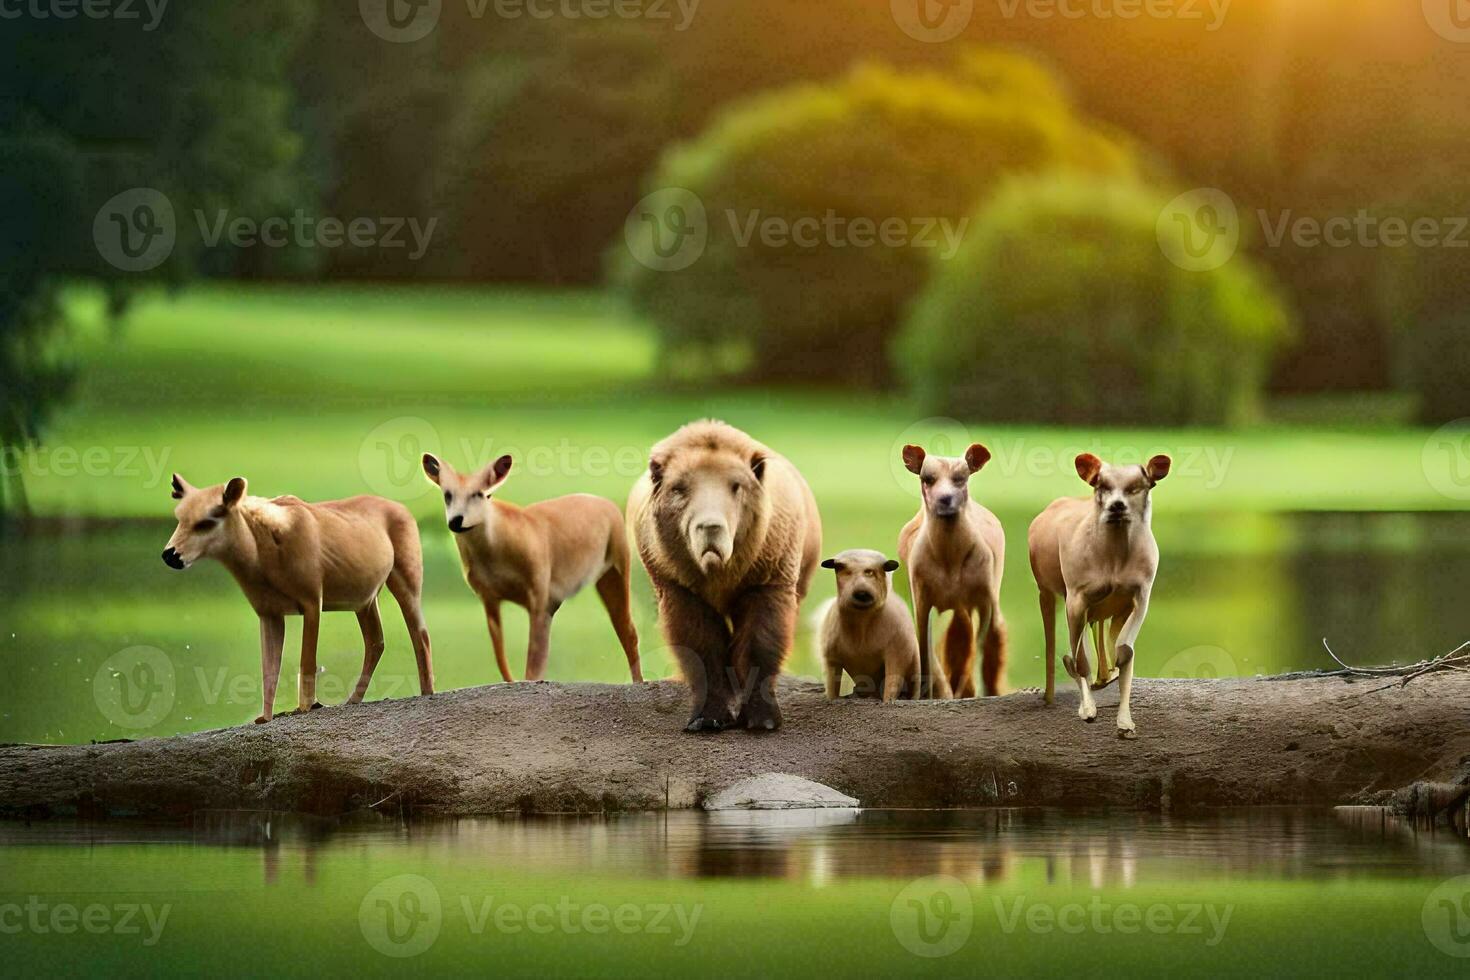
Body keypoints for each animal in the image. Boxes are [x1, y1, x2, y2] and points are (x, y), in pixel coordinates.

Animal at [626, 417, 823, 731]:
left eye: (736, 486)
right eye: (679, 488)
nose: (710, 526)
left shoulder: (767, 584)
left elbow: (761, 645)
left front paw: (762, 717)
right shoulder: (680, 591)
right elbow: (702, 649)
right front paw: (709, 716)